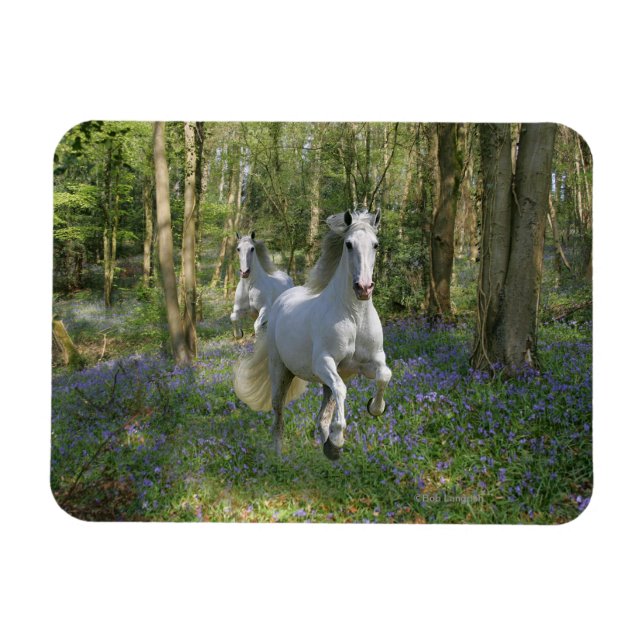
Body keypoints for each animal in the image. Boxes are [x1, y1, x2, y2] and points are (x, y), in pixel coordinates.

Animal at [234, 208, 392, 460]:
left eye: (375, 245)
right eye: (348, 244)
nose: (364, 288)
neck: (354, 317)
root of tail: (283, 298)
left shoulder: (370, 361)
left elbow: (384, 375)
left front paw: (375, 408)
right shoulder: (323, 362)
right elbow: (342, 389)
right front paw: (338, 440)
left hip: (325, 379)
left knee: (322, 415)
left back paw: (325, 444)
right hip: (281, 371)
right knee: (278, 414)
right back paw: (279, 456)